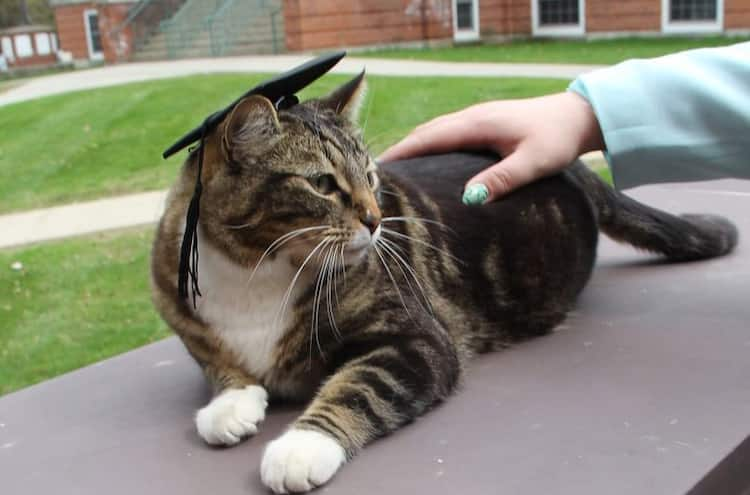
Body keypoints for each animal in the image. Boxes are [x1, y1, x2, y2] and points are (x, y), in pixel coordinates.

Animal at [151, 71, 740, 494]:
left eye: (371, 176)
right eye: (321, 183)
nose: (375, 220)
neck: (256, 268)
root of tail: (574, 167)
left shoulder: (417, 339)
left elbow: (359, 386)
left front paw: (302, 445)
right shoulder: (178, 305)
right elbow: (216, 362)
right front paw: (230, 404)